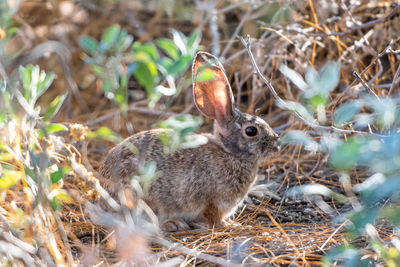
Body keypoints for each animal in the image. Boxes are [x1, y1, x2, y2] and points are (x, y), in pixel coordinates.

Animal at [99, 52, 280, 232]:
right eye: (251, 131)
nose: (277, 145)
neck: (229, 154)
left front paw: (231, 223)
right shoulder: (210, 200)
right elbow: (213, 216)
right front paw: (227, 225)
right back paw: (173, 224)